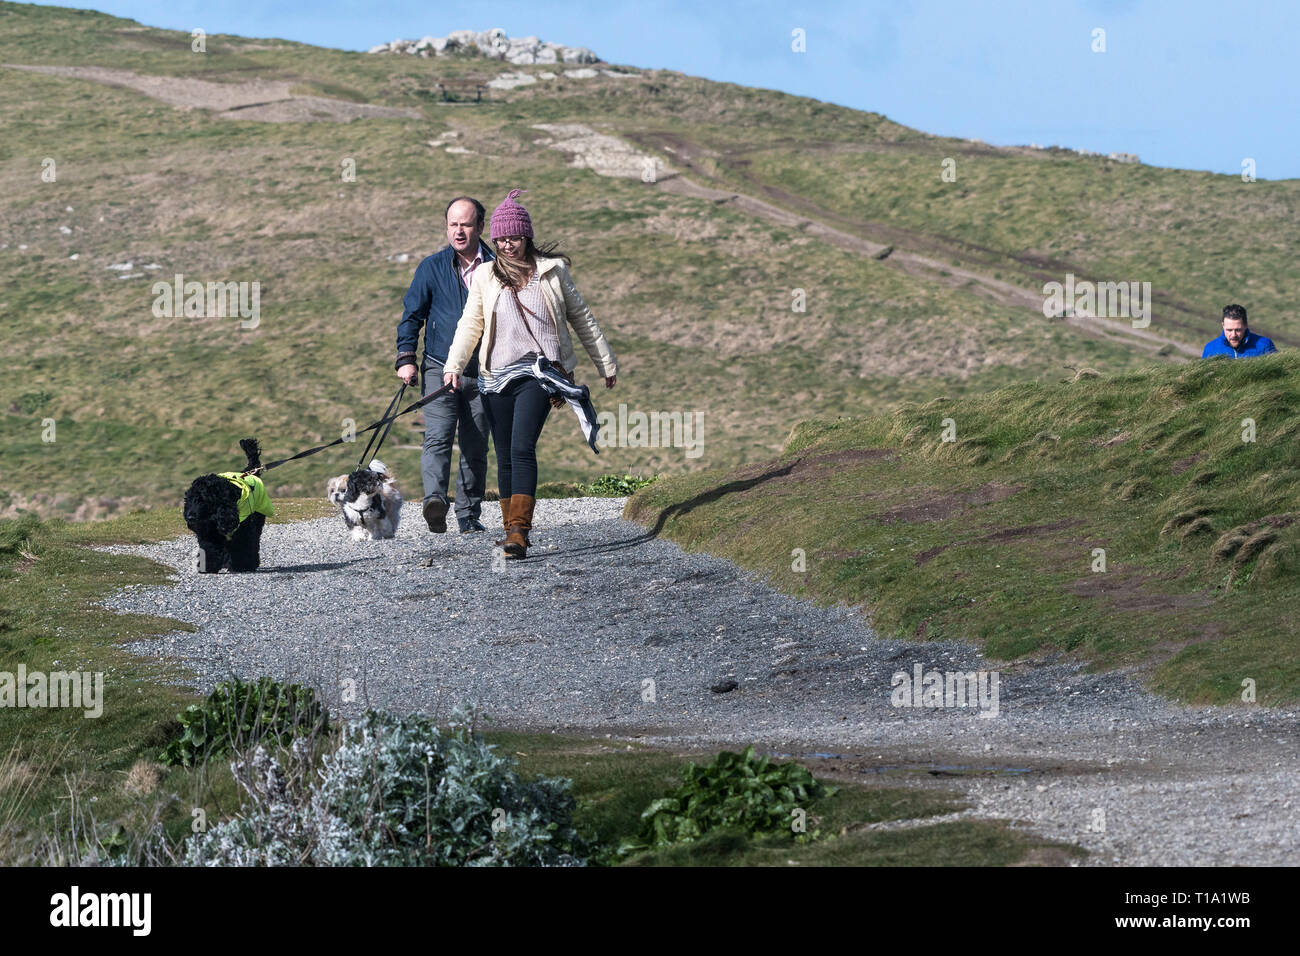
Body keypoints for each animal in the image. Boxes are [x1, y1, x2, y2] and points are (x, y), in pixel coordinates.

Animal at [183, 437, 271, 572]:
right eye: (189, 499)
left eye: (203, 500)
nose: (190, 517)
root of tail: (250, 471)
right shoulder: (210, 533)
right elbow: (210, 549)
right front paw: (209, 565)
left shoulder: (243, 531)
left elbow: (243, 547)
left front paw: (243, 565)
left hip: (257, 522)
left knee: (255, 542)